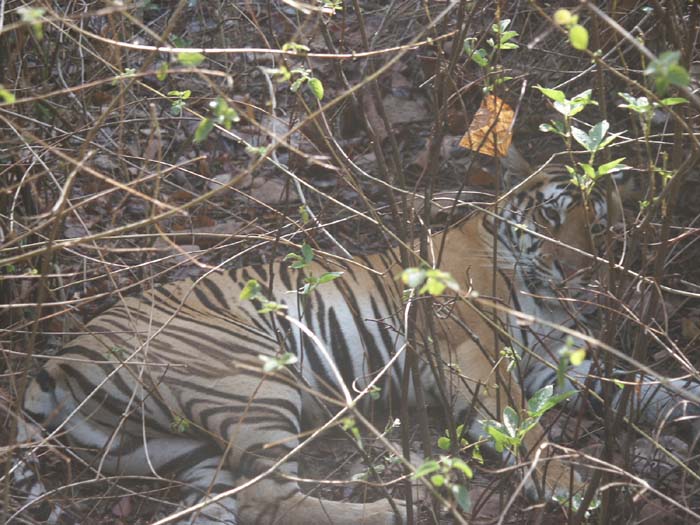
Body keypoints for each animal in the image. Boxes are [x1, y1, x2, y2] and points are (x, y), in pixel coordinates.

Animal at [10, 147, 700, 524]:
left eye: (601, 228)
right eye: (554, 219)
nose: (578, 271)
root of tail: (62, 356)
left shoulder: (563, 365)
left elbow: (660, 388)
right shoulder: (477, 357)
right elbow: (525, 433)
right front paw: (570, 487)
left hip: (183, 449)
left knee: (244, 506)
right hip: (249, 377)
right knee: (276, 500)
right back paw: (410, 501)